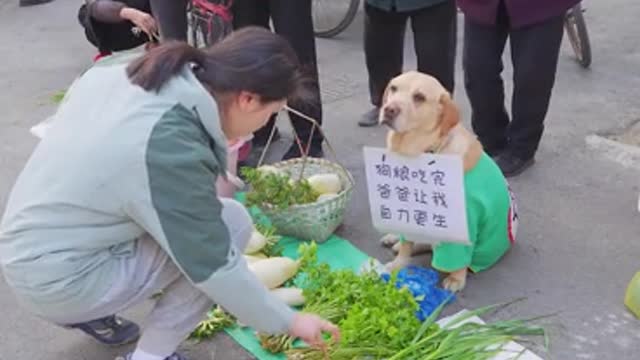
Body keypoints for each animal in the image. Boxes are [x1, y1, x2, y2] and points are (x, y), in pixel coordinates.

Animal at [378, 71, 516, 292]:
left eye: (419, 97)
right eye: (393, 88)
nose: (389, 110)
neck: (423, 153)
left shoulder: (462, 220)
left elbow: (456, 257)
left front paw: (456, 279)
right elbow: (407, 246)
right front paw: (399, 263)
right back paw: (395, 239)